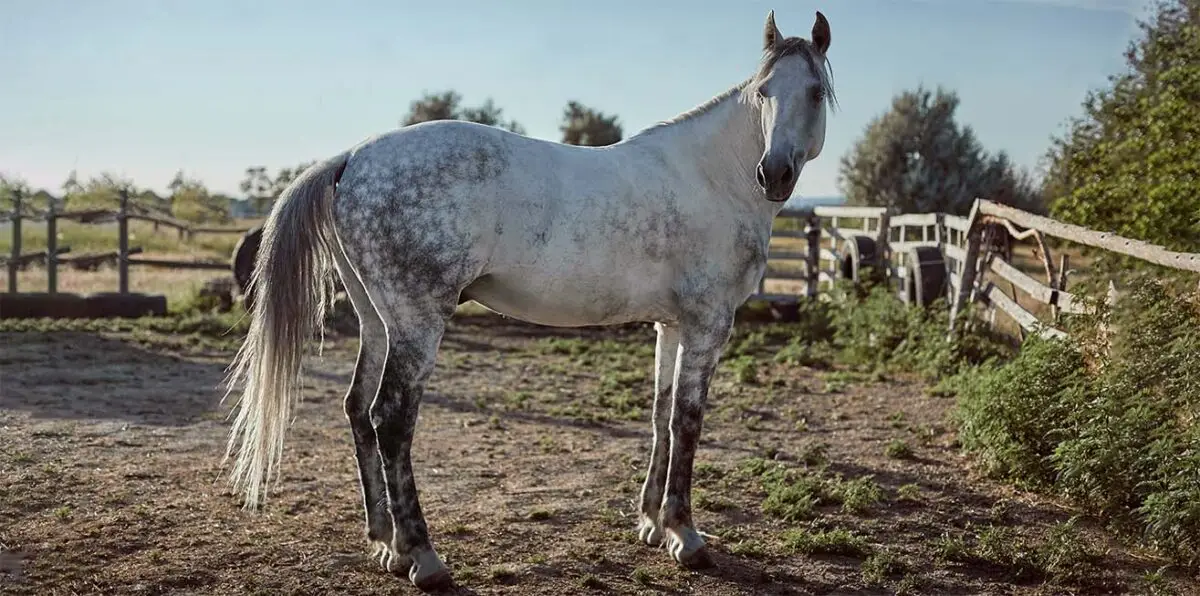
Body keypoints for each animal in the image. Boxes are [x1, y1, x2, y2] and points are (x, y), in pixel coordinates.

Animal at [223, 8, 837, 591]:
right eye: (763, 92)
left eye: (812, 92)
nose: (775, 173)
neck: (712, 177)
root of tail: (350, 158)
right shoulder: (708, 324)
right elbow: (687, 421)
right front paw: (685, 537)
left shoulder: (672, 326)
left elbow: (661, 416)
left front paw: (650, 523)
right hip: (417, 324)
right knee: (390, 419)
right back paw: (423, 557)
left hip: (379, 322)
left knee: (356, 409)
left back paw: (385, 544)